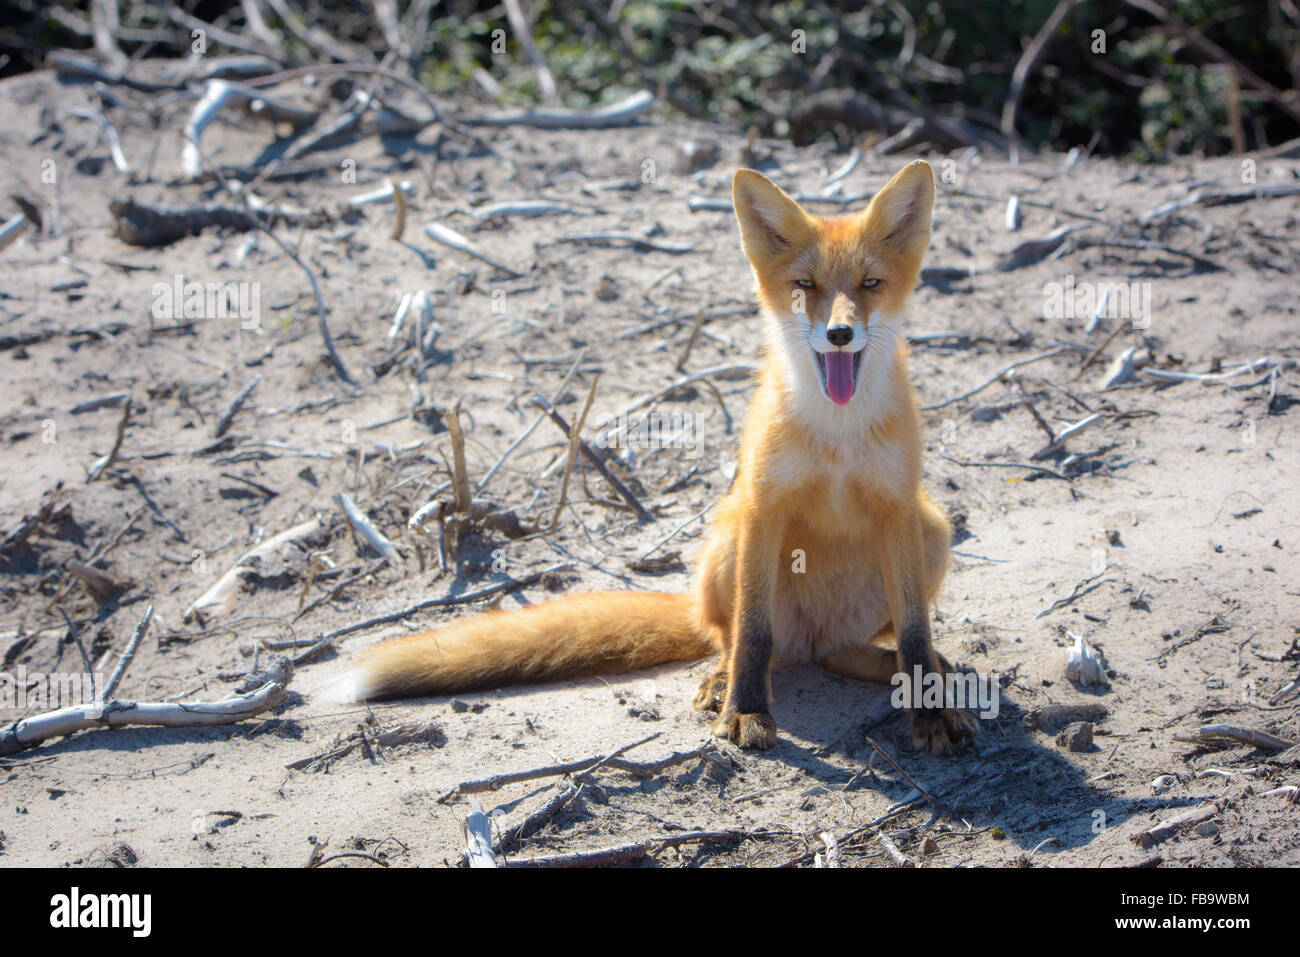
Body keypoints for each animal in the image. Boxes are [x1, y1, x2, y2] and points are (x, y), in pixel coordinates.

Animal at [339, 159, 977, 755]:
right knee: (739, 641)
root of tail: (815, 634)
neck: (837, 437)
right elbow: (753, 635)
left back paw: (908, 672)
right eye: (805, 284)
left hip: (931, 529)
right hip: (729, 538)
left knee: (843, 653)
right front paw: (747, 711)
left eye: (870, 284)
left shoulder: (896, 508)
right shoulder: (764, 506)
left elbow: (916, 636)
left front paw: (929, 710)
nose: (840, 334)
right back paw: (723, 682)